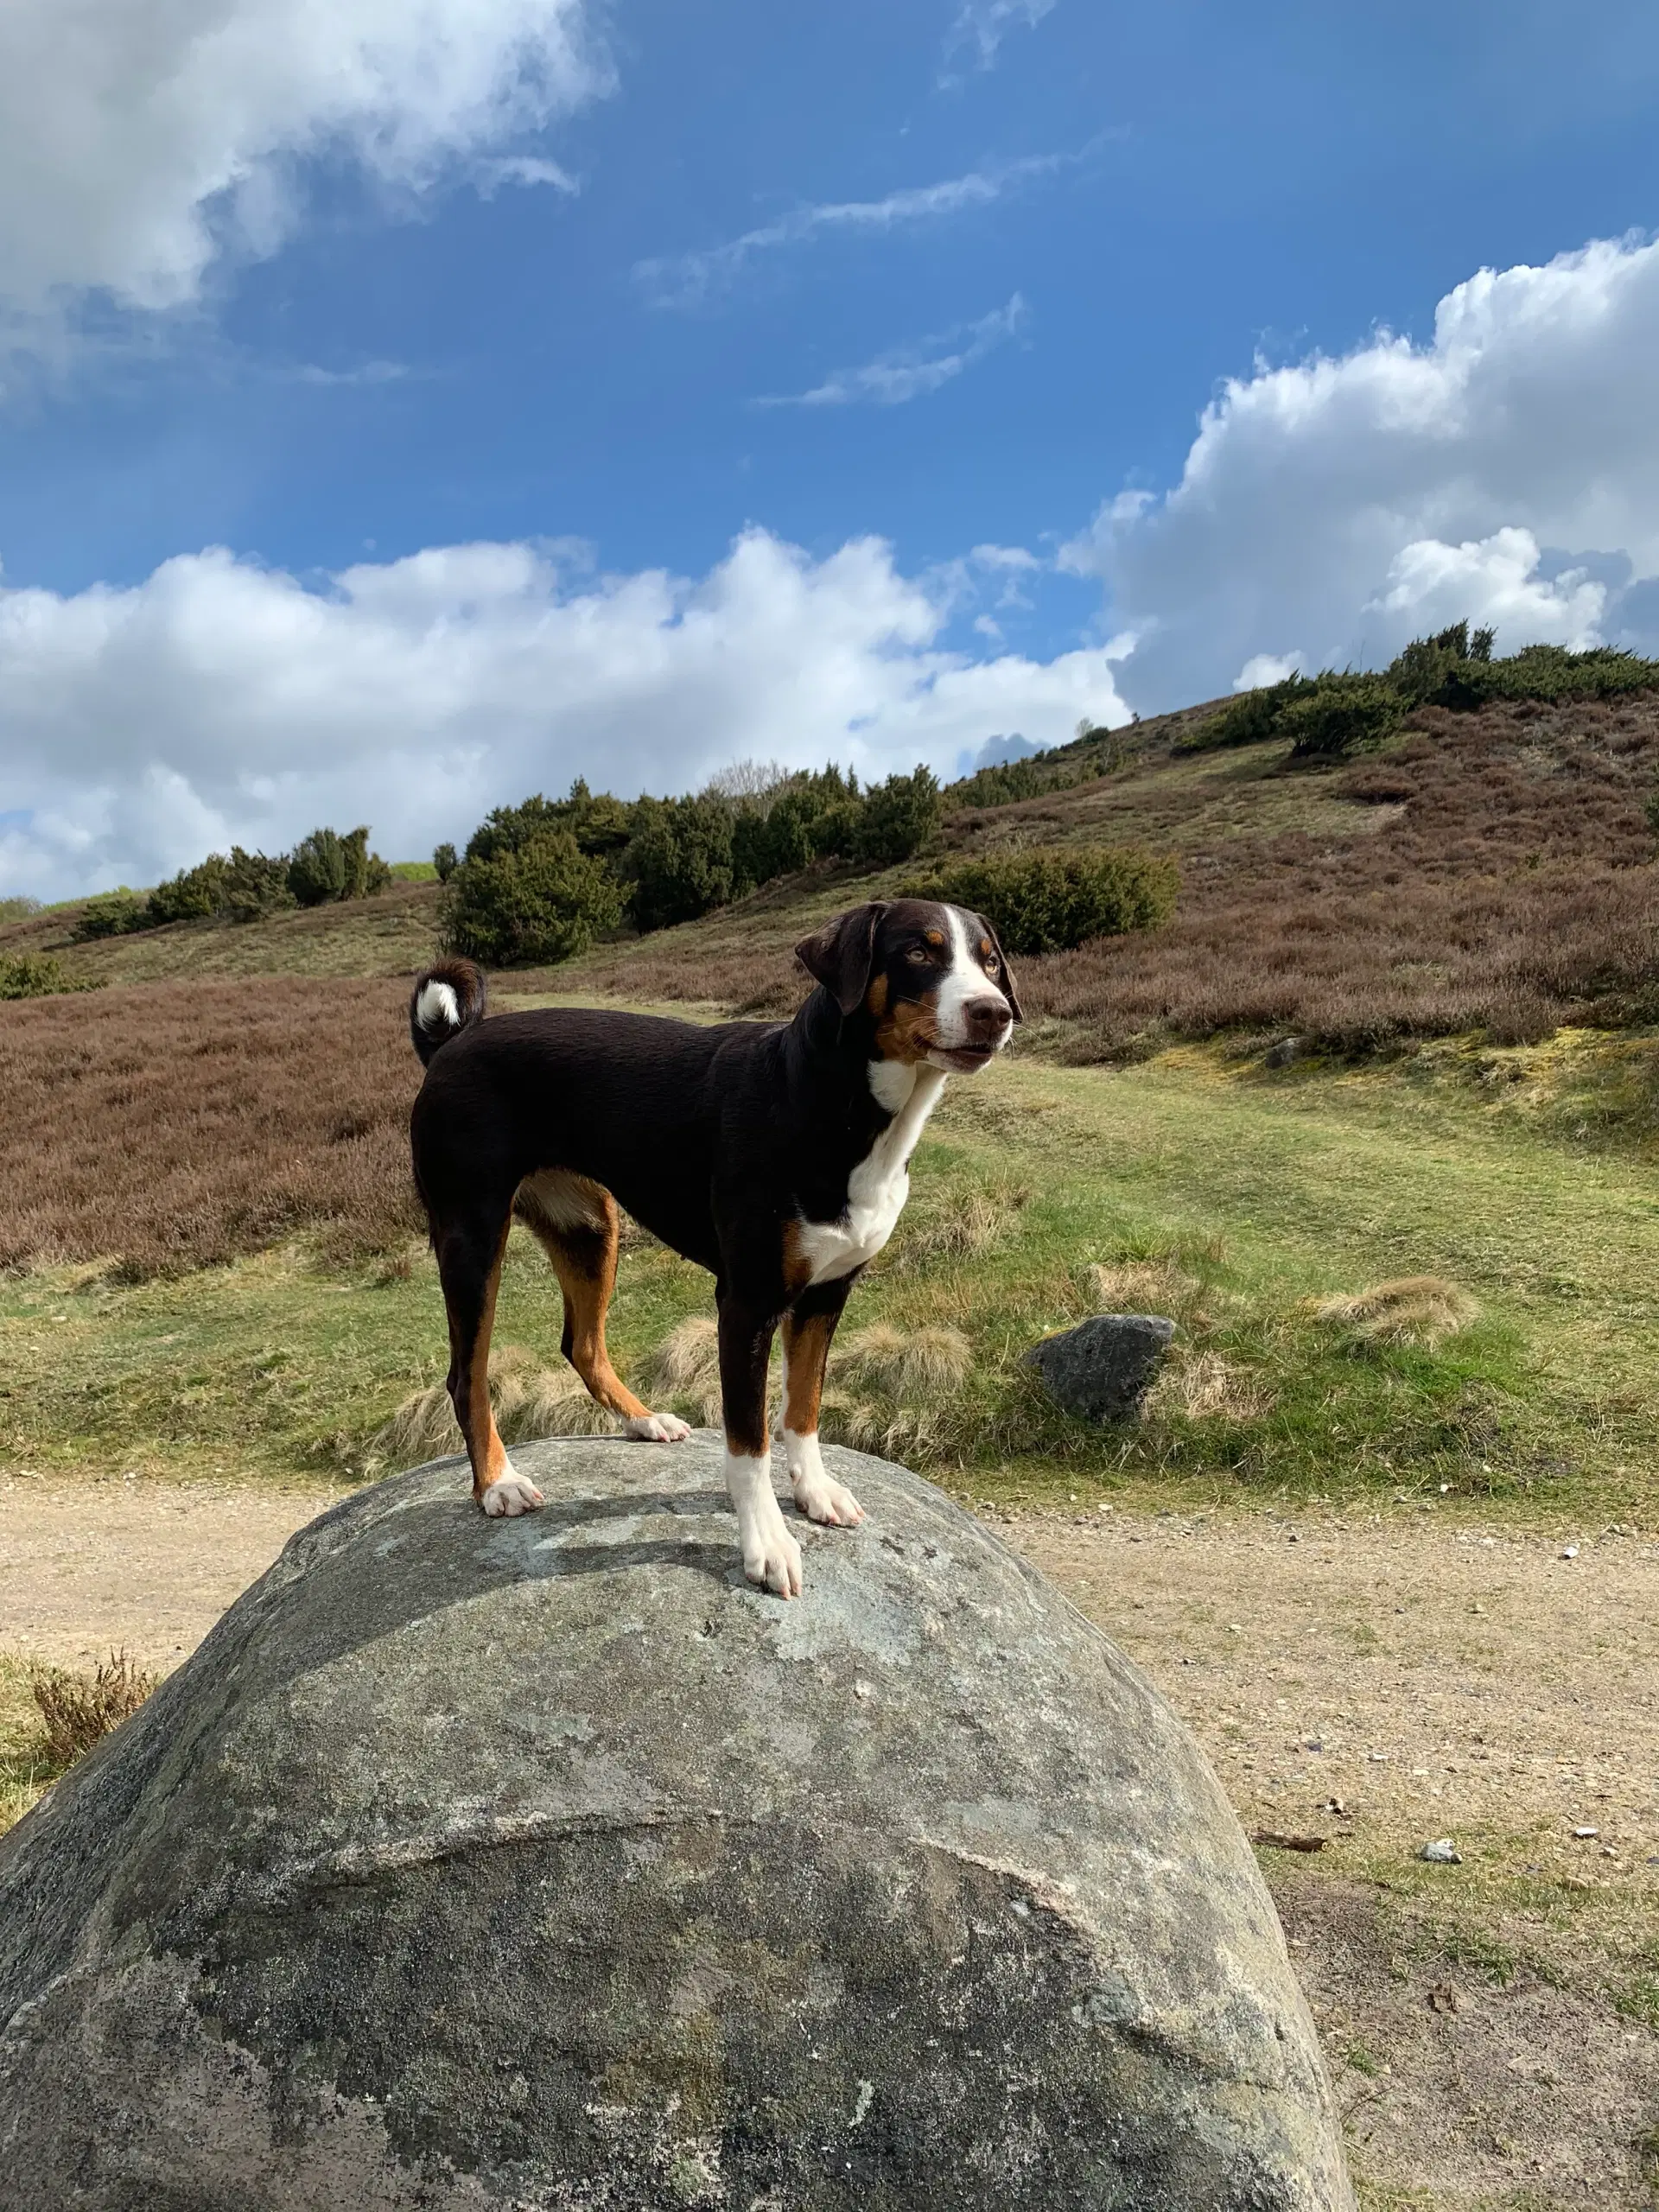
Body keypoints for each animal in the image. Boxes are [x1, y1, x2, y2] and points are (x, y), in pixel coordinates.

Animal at [409, 889, 1021, 1601]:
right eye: (920, 952)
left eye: (990, 961)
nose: (993, 1012)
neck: (835, 1105)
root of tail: (449, 1043)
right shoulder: (748, 1304)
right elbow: (749, 1443)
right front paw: (767, 1544)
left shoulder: (825, 1296)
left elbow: (804, 1408)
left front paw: (815, 1490)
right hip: (472, 1237)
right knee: (467, 1376)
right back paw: (497, 1482)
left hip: (588, 1227)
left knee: (582, 1344)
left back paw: (644, 1420)